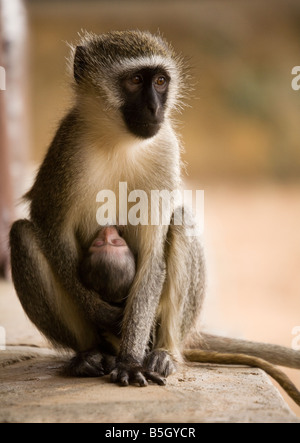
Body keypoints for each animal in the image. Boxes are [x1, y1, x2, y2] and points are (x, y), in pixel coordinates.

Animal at [8, 30, 300, 406]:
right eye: (135, 81)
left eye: (160, 82)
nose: (154, 108)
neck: (118, 140)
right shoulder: (66, 149)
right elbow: (49, 230)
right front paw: (104, 314)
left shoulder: (166, 148)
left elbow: (152, 255)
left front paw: (132, 361)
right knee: (22, 234)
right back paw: (88, 355)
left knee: (180, 220)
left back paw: (163, 354)